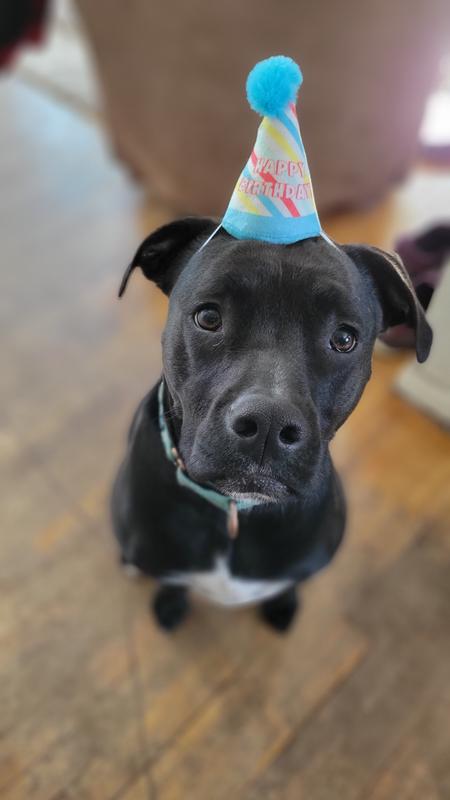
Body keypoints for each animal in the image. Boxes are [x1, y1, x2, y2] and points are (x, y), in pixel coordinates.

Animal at [110, 217, 430, 632]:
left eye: (344, 338)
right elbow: (173, 581)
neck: (234, 511)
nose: (268, 424)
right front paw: (170, 604)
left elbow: (286, 584)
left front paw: (282, 604)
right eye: (208, 318)